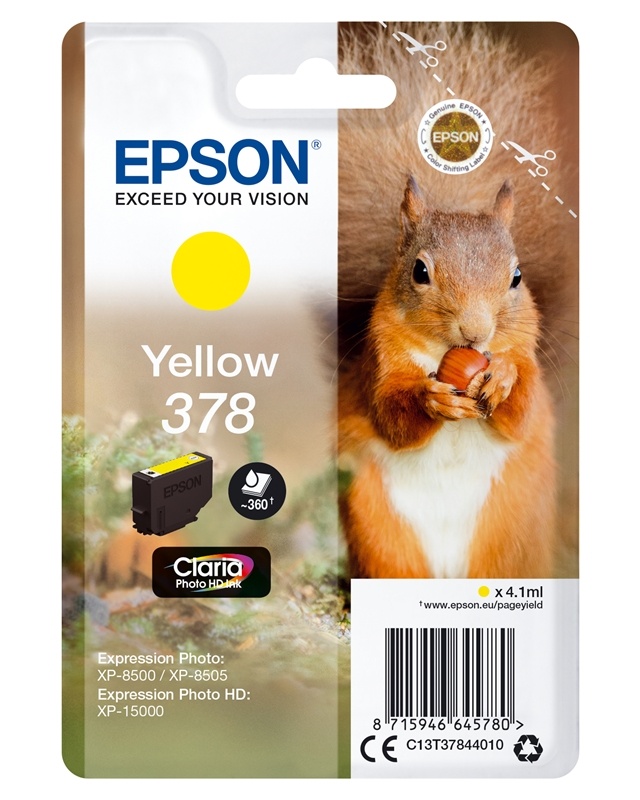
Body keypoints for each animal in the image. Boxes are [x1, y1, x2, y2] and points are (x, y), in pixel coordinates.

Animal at [336, 22, 578, 579]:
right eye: (419, 271)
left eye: (517, 277)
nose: (476, 332)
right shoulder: (380, 362)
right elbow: (391, 414)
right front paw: (433, 399)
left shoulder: (528, 357)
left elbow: (522, 411)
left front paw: (503, 378)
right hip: (379, 530)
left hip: (511, 533)